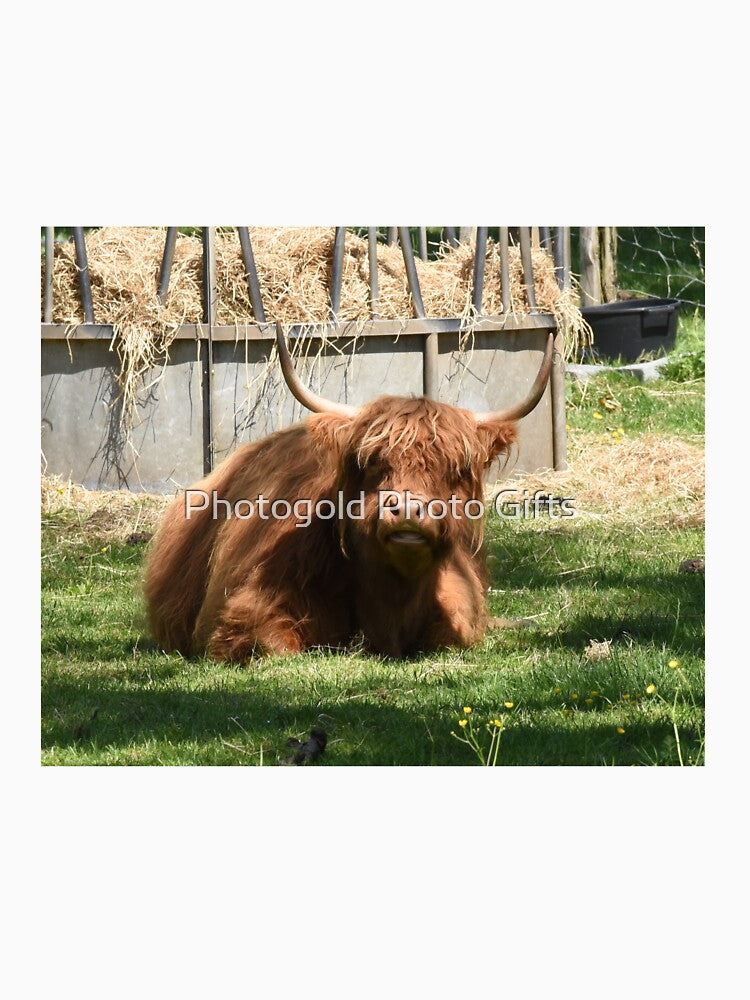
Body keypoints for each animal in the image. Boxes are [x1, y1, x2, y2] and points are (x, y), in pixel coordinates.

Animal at [145, 322, 553, 660]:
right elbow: (272, 643)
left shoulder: (460, 603)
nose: (407, 511)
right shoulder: (249, 609)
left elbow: (453, 635)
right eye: (372, 462)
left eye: (455, 468)